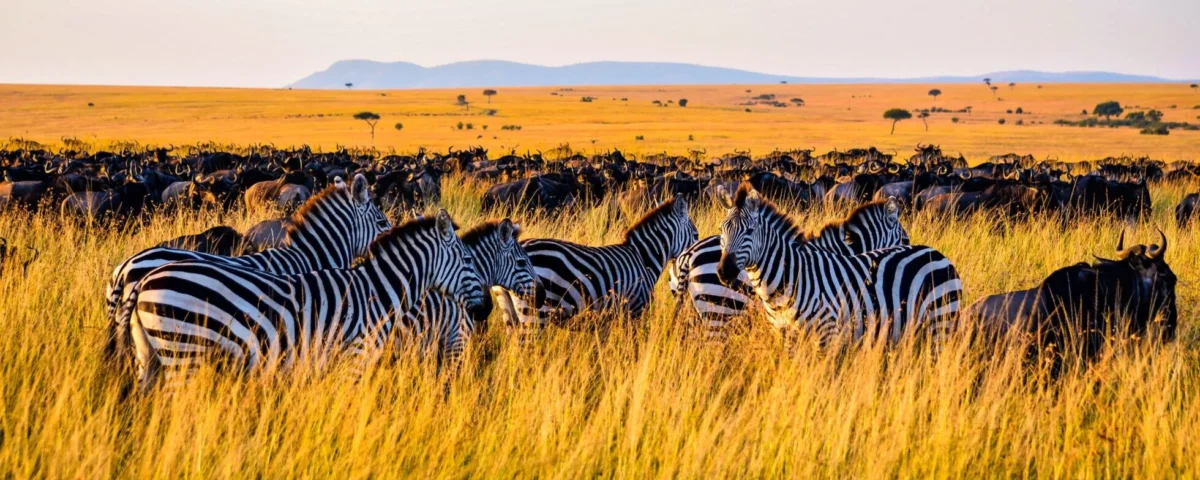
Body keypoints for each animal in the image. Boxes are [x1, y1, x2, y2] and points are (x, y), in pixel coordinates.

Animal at [129, 210, 484, 390]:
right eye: (468, 260)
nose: (485, 311)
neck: (378, 292)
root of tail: (144, 279)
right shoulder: (355, 357)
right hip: (183, 352)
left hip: (151, 355)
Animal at [715, 184, 962, 353]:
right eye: (722, 229)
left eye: (749, 231)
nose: (724, 271)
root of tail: (938, 253)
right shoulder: (786, 336)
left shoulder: (827, 334)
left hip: (940, 321)